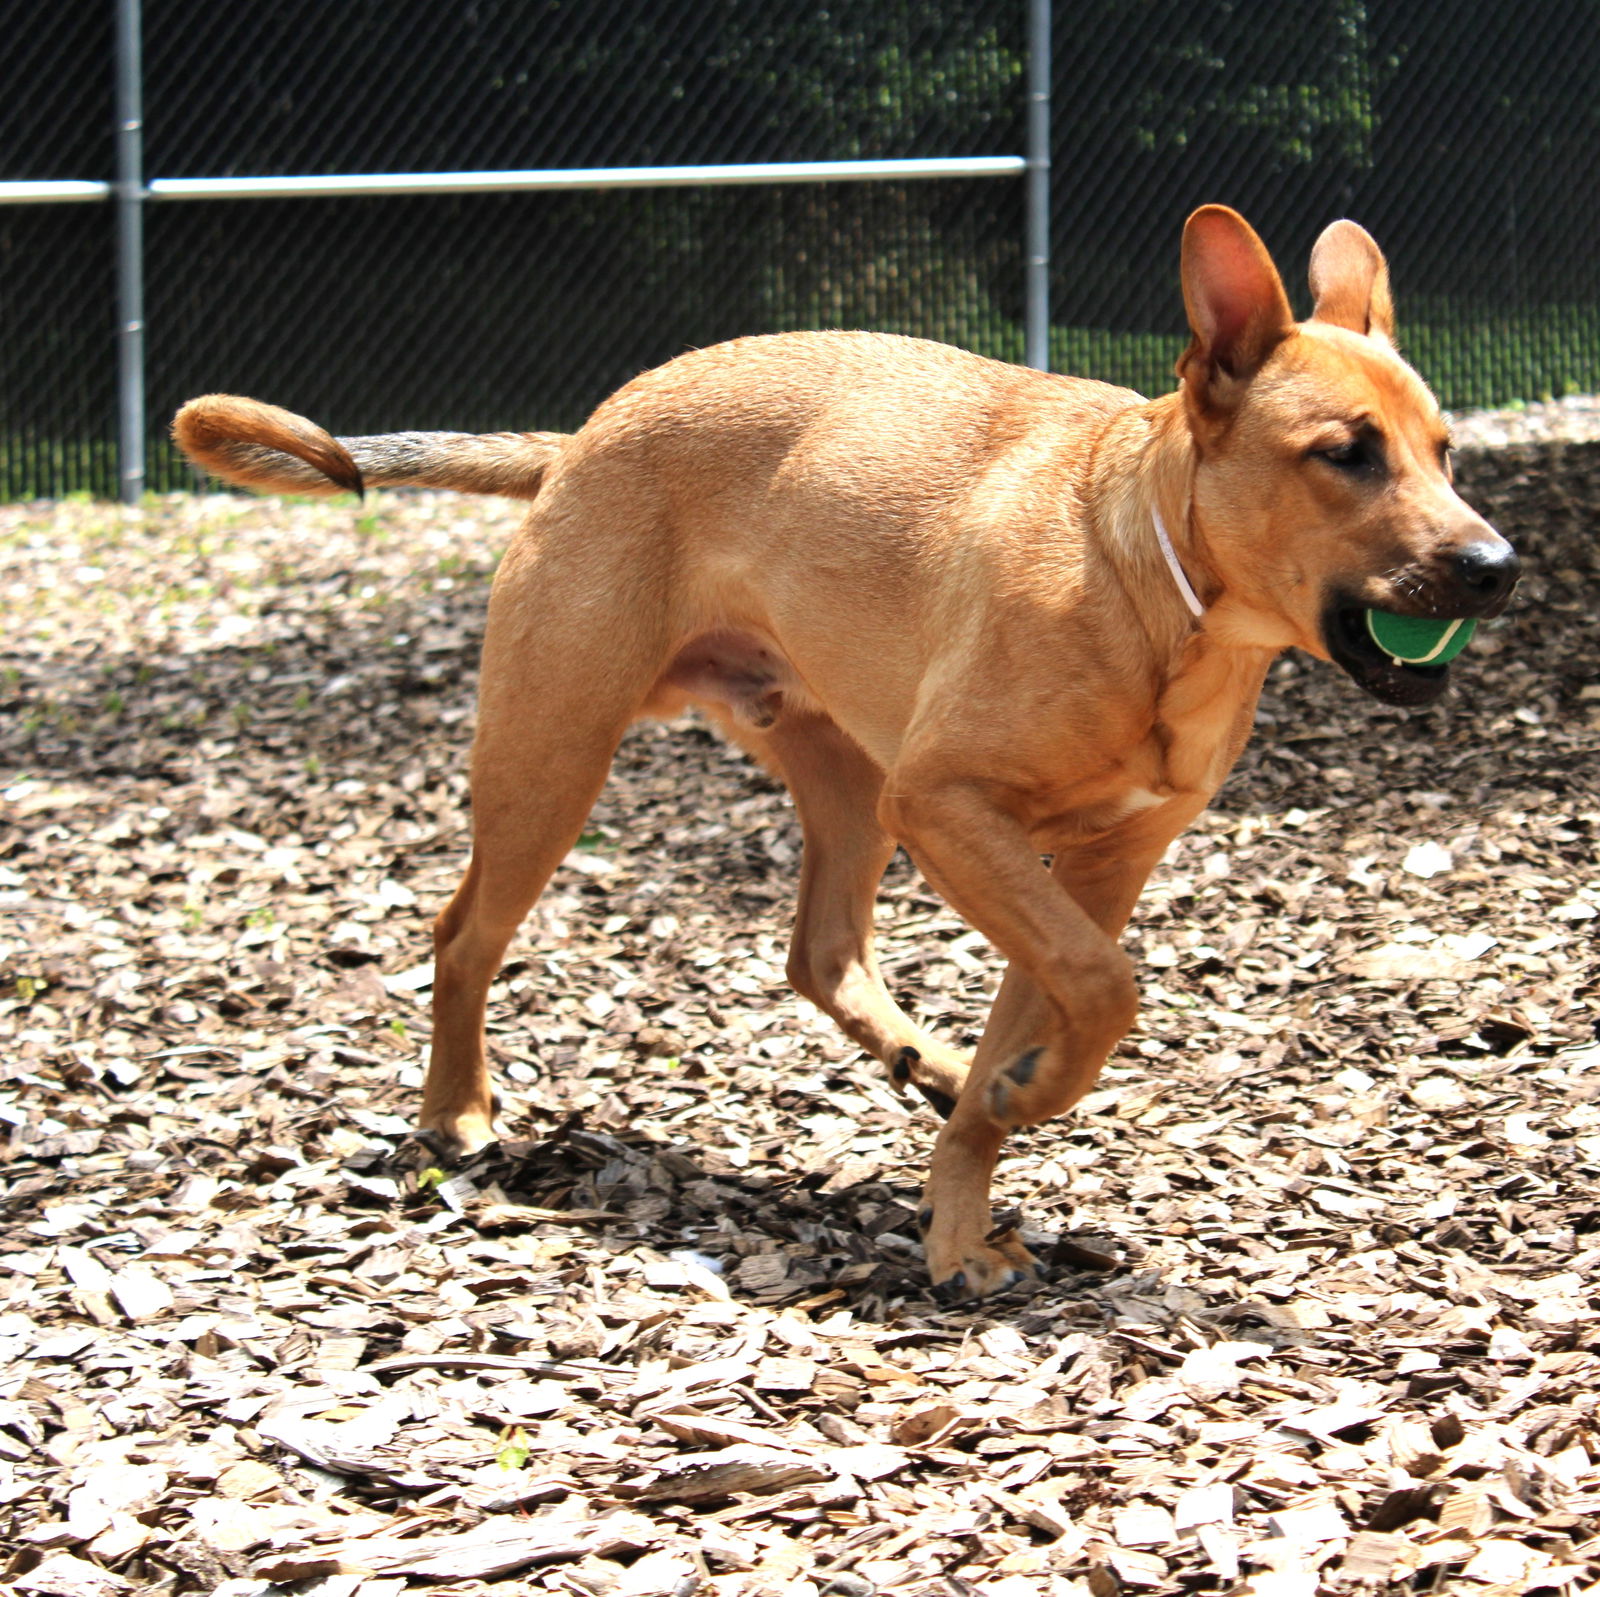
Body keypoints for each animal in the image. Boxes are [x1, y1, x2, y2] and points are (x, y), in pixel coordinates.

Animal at [172, 206, 1510, 1299]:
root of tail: (577, 438)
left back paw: (927, 1057)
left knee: (818, 952)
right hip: (554, 759)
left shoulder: (1085, 867)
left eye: (1445, 451)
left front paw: (969, 1188)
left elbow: (1063, 1005)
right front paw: (1024, 1100)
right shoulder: (955, 810)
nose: (1493, 567)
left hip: (847, 782)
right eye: (1345, 452)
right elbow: (1106, 988)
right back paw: (456, 1114)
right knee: (463, 937)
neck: (1157, 590)